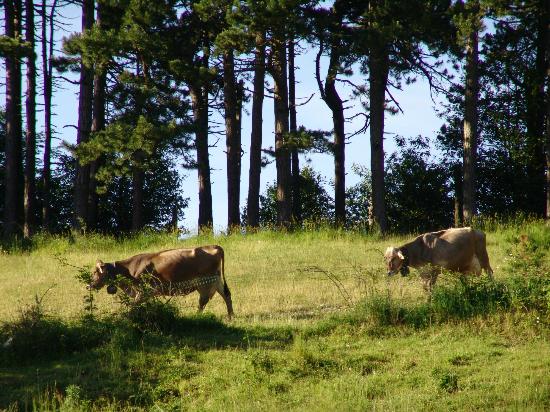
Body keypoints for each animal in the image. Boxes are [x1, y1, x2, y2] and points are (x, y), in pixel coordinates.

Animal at [87, 245, 234, 318]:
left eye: (95, 272)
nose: (88, 285)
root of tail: (213, 246)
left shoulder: (144, 290)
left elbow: (133, 306)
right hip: (217, 280)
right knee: (226, 295)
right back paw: (231, 316)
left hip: (205, 283)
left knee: (203, 301)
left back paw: (197, 317)